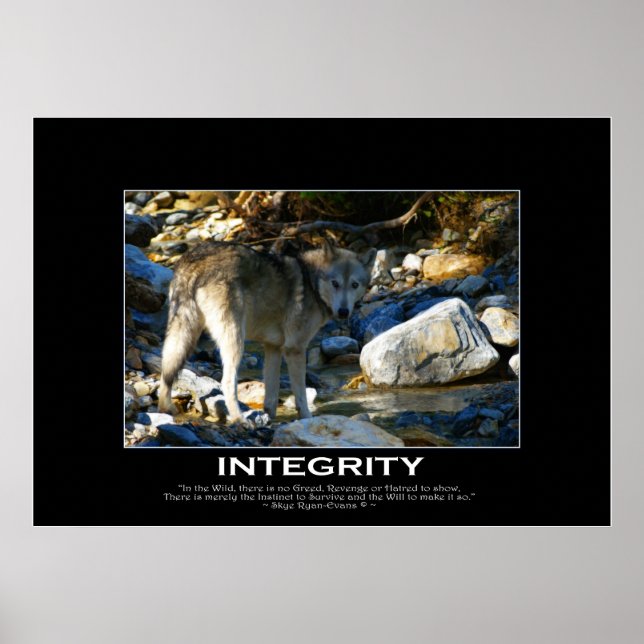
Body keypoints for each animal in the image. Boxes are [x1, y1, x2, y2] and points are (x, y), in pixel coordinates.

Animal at [157, 240, 376, 425]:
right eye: (335, 283)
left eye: (354, 285)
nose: (344, 311)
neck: (312, 282)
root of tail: (195, 263)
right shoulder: (295, 349)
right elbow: (301, 396)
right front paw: (307, 419)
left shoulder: (273, 348)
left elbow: (271, 395)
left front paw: (269, 418)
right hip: (235, 342)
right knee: (227, 383)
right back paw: (239, 420)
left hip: (181, 336)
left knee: (166, 373)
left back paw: (166, 410)